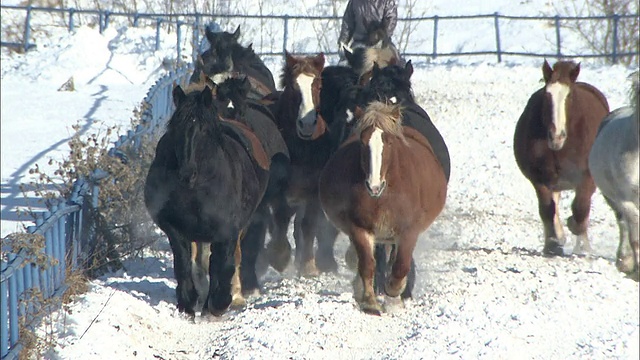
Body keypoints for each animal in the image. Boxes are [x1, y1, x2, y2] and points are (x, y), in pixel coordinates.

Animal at [144, 83, 272, 316]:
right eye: (175, 128)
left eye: (203, 129)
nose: (186, 173)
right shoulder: (175, 227)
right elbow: (184, 262)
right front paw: (188, 301)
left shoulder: (227, 229)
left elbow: (223, 264)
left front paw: (219, 303)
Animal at [262, 51, 342, 276]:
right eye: (292, 86)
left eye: (318, 85)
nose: (307, 124)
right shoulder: (279, 190)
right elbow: (280, 220)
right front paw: (279, 256)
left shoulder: (313, 191)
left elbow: (308, 225)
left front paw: (308, 264)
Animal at [318, 100, 448, 314]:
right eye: (362, 142)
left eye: (389, 142)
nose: (373, 185)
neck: (384, 195)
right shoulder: (360, 228)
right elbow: (367, 265)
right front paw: (370, 302)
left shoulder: (408, 231)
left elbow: (400, 266)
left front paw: (394, 293)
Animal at [516, 59, 608, 256]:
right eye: (547, 95)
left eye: (569, 96)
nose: (556, 136)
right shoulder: (540, 179)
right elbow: (547, 209)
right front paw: (552, 244)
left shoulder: (586, 178)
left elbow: (580, 209)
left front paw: (582, 245)